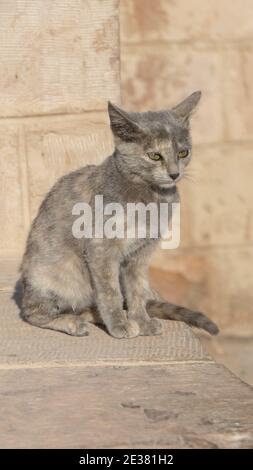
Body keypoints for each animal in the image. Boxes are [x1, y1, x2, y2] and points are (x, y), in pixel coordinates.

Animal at [19, 91, 218, 338]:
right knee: (34, 313)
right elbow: (110, 291)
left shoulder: (142, 251)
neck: (151, 197)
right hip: (52, 275)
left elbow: (137, 289)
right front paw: (120, 325)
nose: (174, 174)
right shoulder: (101, 248)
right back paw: (72, 323)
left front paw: (142, 321)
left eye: (183, 152)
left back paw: (93, 316)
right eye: (154, 156)